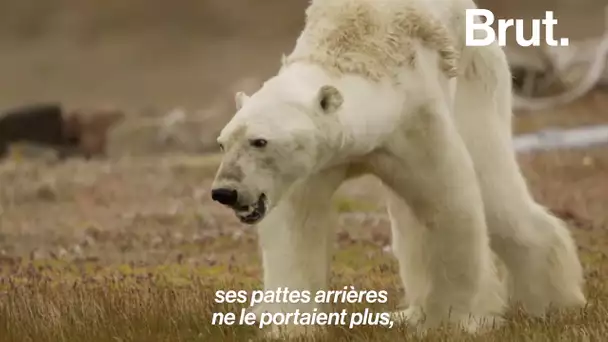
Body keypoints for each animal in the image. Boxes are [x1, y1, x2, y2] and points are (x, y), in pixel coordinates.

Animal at [209, 0, 584, 334]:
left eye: (259, 141)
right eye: (222, 143)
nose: (225, 191)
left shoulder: (416, 121)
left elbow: (448, 209)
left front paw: (448, 321)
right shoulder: (315, 163)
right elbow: (296, 228)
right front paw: (291, 326)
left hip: (476, 78)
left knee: (494, 191)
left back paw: (554, 303)